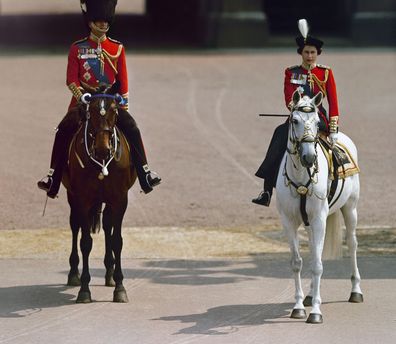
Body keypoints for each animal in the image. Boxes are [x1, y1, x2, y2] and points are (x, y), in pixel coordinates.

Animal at [62, 89, 136, 304]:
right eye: (90, 112)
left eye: (114, 110)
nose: (103, 149)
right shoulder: (82, 200)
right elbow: (85, 243)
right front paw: (84, 290)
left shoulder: (120, 200)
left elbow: (117, 241)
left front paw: (120, 287)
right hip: (72, 197)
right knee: (75, 226)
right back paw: (74, 273)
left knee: (108, 226)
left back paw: (110, 273)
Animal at [276, 90, 364, 324]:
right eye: (295, 120)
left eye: (317, 122)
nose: (309, 157)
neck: (300, 175)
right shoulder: (290, 221)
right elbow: (297, 262)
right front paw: (298, 307)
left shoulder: (318, 219)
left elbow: (316, 265)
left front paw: (315, 312)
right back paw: (309, 296)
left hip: (350, 208)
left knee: (352, 244)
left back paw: (356, 291)